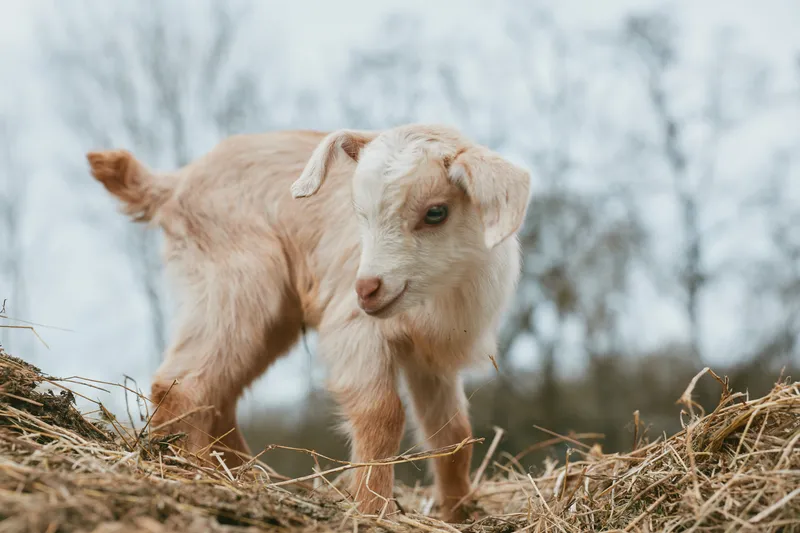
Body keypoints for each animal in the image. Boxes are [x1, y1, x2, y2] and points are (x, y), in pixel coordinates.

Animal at [86, 124, 530, 521]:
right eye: (360, 214)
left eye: (436, 212)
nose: (367, 289)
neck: (443, 293)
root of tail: (174, 183)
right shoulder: (354, 328)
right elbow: (381, 414)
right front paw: (375, 511)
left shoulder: (430, 359)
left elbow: (453, 434)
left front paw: (460, 513)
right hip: (234, 286)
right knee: (183, 384)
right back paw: (201, 473)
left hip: (271, 315)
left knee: (220, 392)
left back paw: (247, 476)